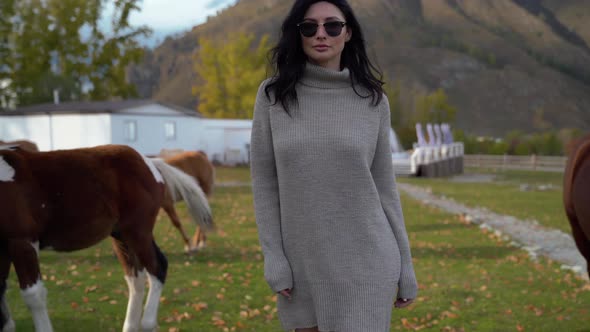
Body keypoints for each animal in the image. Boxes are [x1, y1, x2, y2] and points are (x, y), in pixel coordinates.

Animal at [0, 145, 213, 332]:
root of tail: (150, 163)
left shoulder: (22, 242)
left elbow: (33, 295)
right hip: (121, 235)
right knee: (135, 278)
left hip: (137, 232)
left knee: (157, 267)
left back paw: (147, 323)